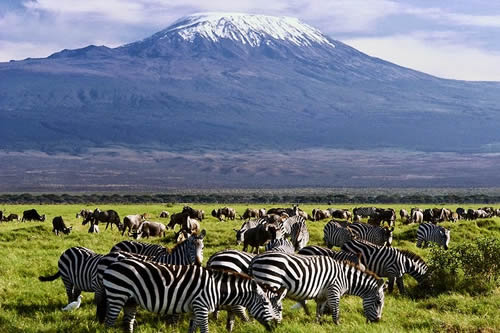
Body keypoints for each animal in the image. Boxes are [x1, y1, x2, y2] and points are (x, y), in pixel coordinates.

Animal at [100, 256, 286, 332]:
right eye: (266, 304)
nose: (275, 326)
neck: (217, 288)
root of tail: (112, 265)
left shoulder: (196, 309)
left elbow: (192, 329)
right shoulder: (201, 307)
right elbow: (204, 330)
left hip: (131, 300)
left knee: (128, 323)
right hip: (117, 295)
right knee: (109, 322)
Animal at [248, 252, 384, 322]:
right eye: (378, 302)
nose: (377, 321)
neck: (345, 278)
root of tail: (255, 258)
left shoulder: (322, 295)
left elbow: (320, 310)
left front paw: (318, 323)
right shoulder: (334, 290)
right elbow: (336, 311)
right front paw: (337, 325)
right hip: (269, 281)